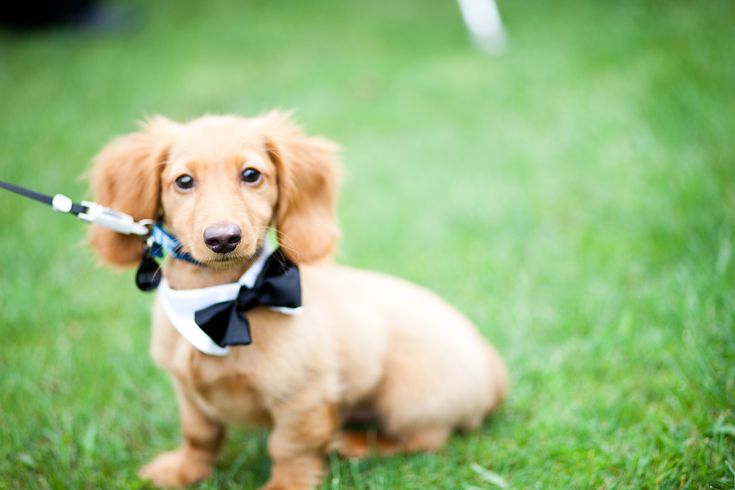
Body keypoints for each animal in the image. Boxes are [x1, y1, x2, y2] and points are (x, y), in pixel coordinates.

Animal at [89, 112, 508, 490]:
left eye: (251, 175)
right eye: (184, 181)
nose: (223, 238)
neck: (220, 303)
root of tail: (495, 371)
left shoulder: (302, 398)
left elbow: (289, 448)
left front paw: (284, 485)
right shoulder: (187, 393)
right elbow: (200, 435)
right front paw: (182, 472)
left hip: (408, 402)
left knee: (422, 441)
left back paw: (355, 443)